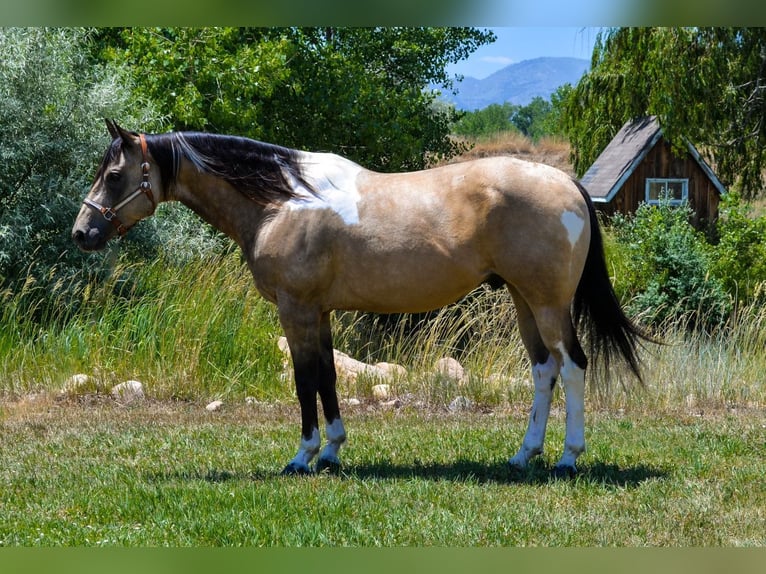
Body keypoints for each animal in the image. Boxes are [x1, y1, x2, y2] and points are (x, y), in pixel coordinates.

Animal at [72, 120, 652, 476]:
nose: (82, 232)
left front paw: (304, 455)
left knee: (572, 366)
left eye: (115, 174)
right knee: (543, 370)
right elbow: (328, 377)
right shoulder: (320, 312)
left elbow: (304, 380)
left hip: (548, 304)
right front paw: (332, 450)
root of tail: (567, 184)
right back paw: (522, 455)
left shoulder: (296, 309)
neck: (283, 201)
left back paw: (568, 458)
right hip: (523, 300)